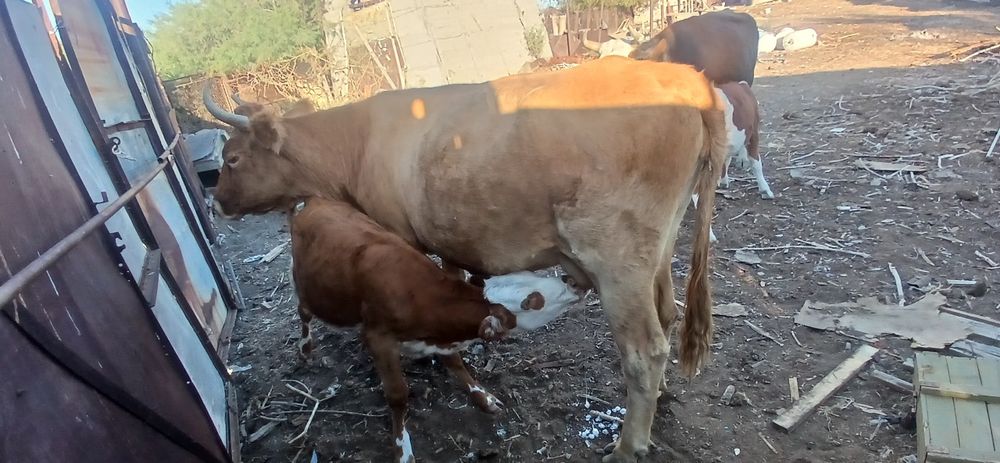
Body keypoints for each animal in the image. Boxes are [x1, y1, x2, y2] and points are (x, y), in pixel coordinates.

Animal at [288, 197, 584, 462]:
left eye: (530, 276)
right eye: (532, 301)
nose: (574, 282)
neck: (423, 300)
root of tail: (314, 200)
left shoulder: (442, 338)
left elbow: (456, 364)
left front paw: (484, 397)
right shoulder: (378, 338)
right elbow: (398, 394)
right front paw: (402, 448)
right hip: (308, 287)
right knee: (303, 312)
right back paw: (304, 348)